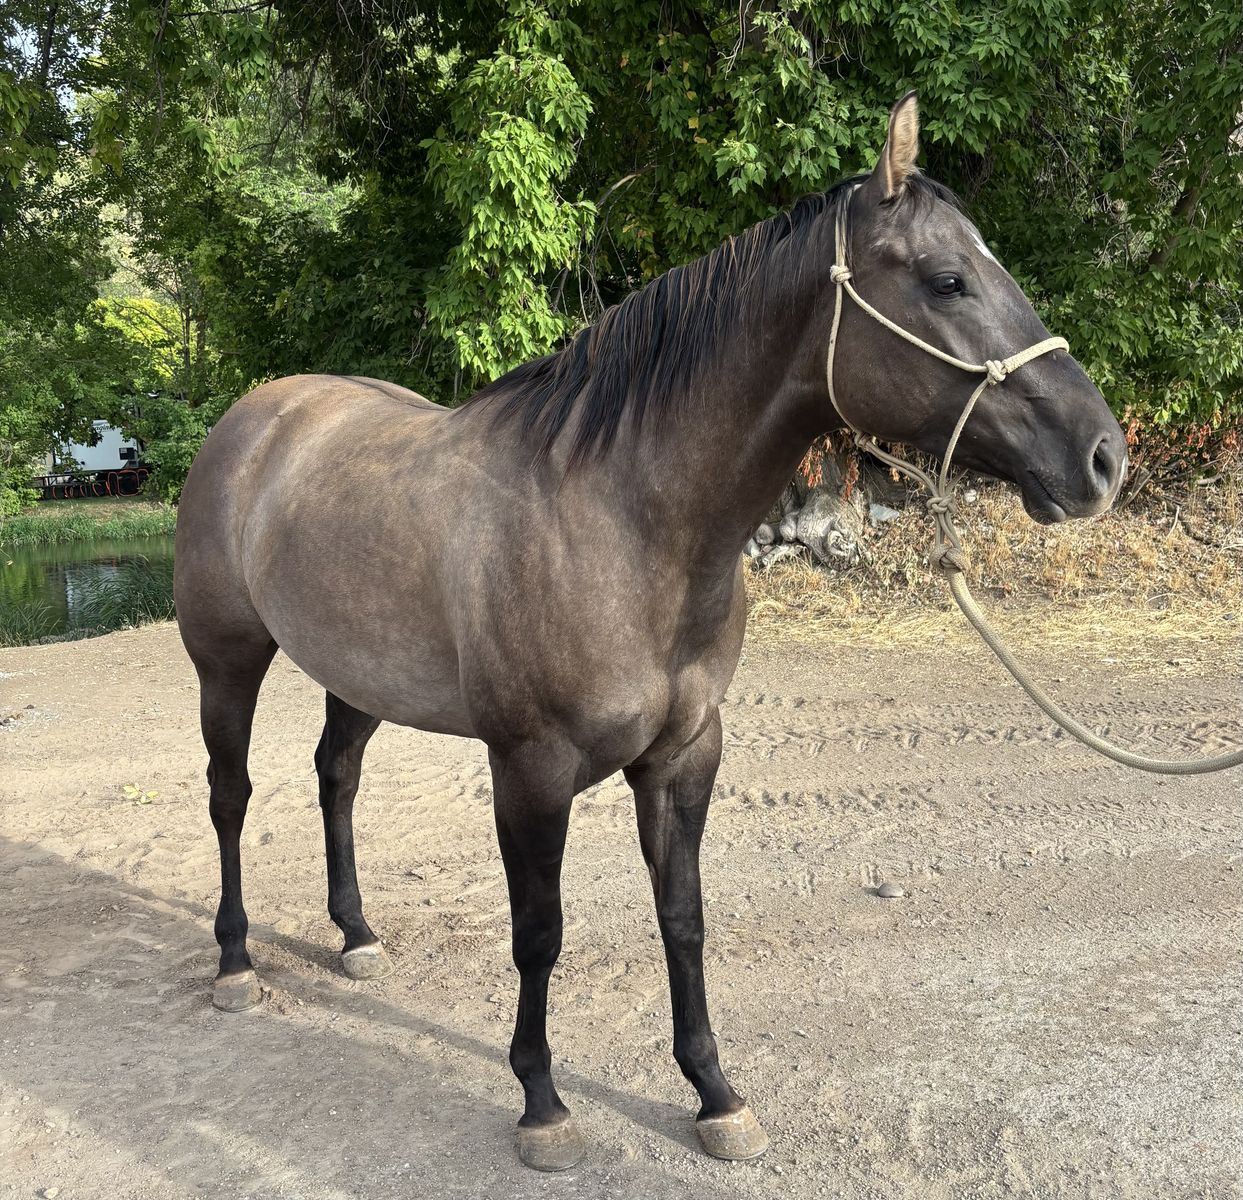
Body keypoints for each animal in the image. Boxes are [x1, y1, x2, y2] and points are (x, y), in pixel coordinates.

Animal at [174, 93, 1127, 1171]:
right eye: (947, 280)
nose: (1102, 456)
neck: (623, 519)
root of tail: (257, 416)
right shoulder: (529, 767)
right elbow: (539, 932)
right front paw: (542, 1104)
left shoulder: (684, 755)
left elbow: (683, 917)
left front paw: (715, 1094)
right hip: (227, 663)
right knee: (231, 796)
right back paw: (236, 962)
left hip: (357, 674)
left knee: (336, 776)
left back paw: (356, 937)